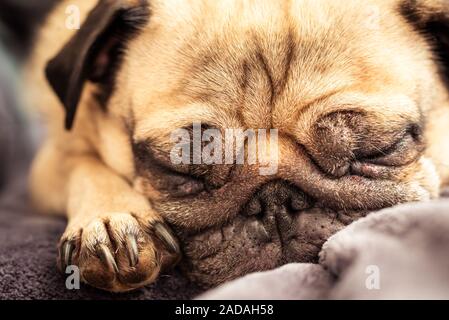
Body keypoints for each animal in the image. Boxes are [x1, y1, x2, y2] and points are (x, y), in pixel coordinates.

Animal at [23, 0, 448, 292]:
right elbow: (84, 165)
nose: (276, 203)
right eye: (179, 170)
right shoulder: (51, 158)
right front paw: (110, 219)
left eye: (377, 151)